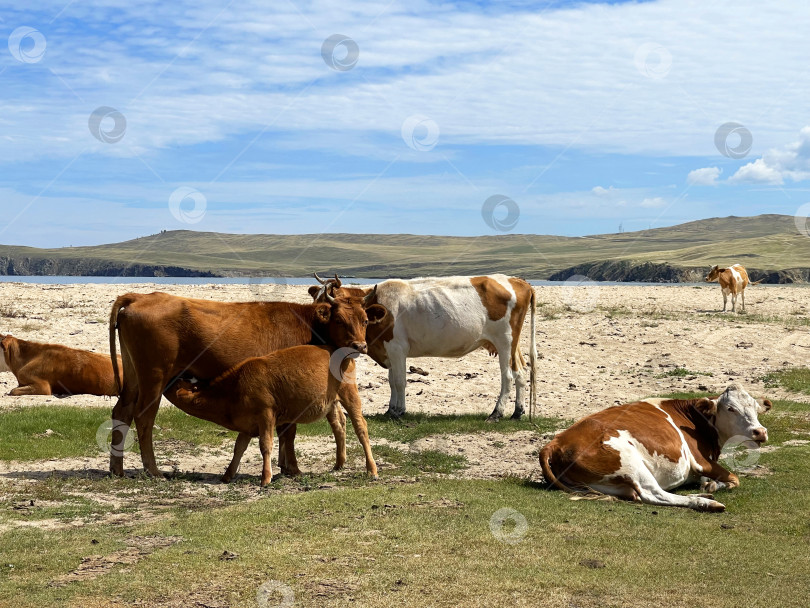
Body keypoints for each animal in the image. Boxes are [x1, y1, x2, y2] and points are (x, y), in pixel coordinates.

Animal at [164, 344, 378, 486]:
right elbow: (238, 448)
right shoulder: (247, 426)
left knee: (361, 427)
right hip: (331, 403)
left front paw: (265, 478)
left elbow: (265, 445)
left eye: (177, 382)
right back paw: (339, 464)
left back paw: (371, 469)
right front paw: (227, 475)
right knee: (339, 425)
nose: (167, 380)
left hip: (349, 394)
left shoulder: (266, 415)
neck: (235, 387)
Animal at [310, 274, 536, 420]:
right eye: (314, 301)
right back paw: (517, 412)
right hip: (513, 344)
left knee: (508, 376)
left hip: (504, 341)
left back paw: (497, 413)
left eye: (327, 308)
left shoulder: (397, 348)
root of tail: (516, 281)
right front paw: (390, 409)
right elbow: (392, 382)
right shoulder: (389, 351)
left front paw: (399, 411)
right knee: (521, 373)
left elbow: (400, 381)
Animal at [540, 384, 768, 512]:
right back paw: (705, 503)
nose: (760, 431)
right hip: (630, 461)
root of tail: (555, 442)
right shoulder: (701, 460)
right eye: (730, 409)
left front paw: (710, 486)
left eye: (756, 408)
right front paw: (714, 486)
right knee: (653, 494)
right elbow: (734, 479)